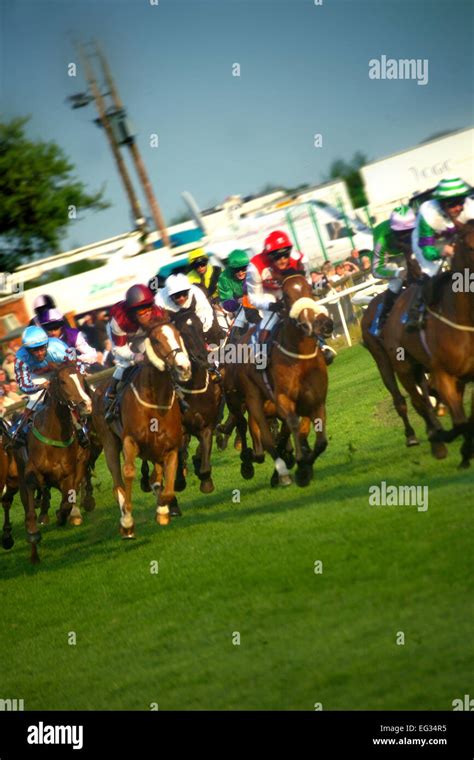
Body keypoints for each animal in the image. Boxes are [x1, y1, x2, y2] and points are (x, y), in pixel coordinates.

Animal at [12, 362, 92, 564]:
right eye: (63, 382)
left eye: (82, 378)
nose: (86, 405)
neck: (54, 434)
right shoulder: (31, 475)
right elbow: (31, 513)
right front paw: (34, 538)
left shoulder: (68, 475)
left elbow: (67, 501)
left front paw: (62, 517)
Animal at [91, 318, 192, 536]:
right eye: (156, 340)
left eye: (178, 334)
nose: (184, 367)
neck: (156, 401)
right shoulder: (130, 441)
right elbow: (129, 472)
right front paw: (128, 520)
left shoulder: (170, 447)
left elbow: (167, 486)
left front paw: (163, 509)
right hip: (109, 442)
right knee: (117, 483)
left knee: (155, 475)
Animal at [223, 276, 332, 490]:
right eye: (287, 296)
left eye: (310, 288)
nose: (323, 324)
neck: (301, 358)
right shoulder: (283, 400)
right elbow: (286, 430)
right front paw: (299, 465)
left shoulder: (315, 401)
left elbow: (317, 440)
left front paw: (304, 466)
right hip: (250, 399)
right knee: (261, 436)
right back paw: (277, 471)